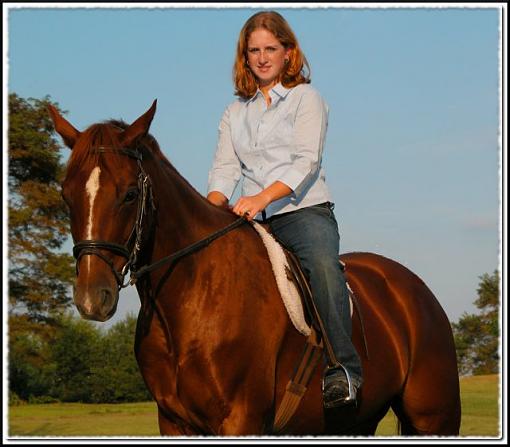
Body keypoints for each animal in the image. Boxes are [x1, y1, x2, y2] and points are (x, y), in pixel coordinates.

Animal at [48, 101, 462, 438]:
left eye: (130, 194)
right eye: (66, 193)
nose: (92, 297)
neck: (194, 296)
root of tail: (413, 288)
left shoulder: (240, 418)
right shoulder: (174, 422)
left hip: (435, 418)